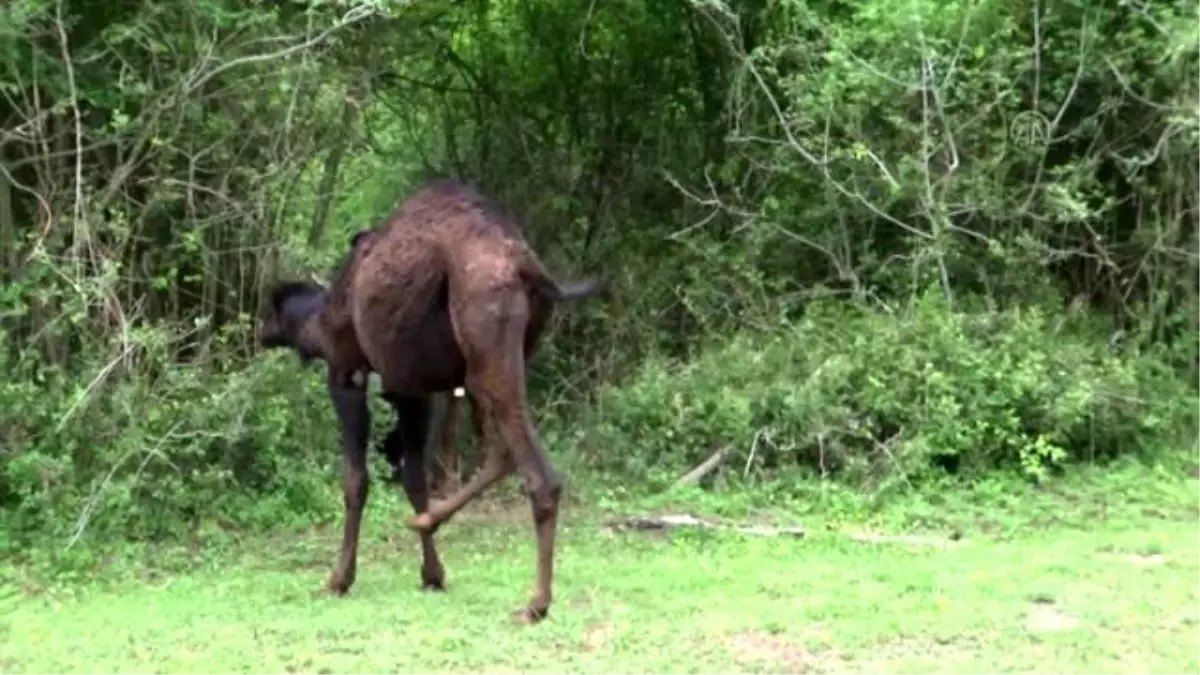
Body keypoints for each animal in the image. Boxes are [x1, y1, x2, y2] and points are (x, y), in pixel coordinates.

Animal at [258, 177, 604, 619]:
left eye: (268, 312)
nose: (259, 332)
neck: (320, 321)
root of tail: (526, 265)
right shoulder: (411, 388)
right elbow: (414, 478)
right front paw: (432, 574)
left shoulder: (346, 371)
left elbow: (356, 479)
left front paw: (339, 579)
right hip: (498, 358)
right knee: (502, 450)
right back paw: (428, 521)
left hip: (486, 331)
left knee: (538, 473)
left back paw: (536, 603)